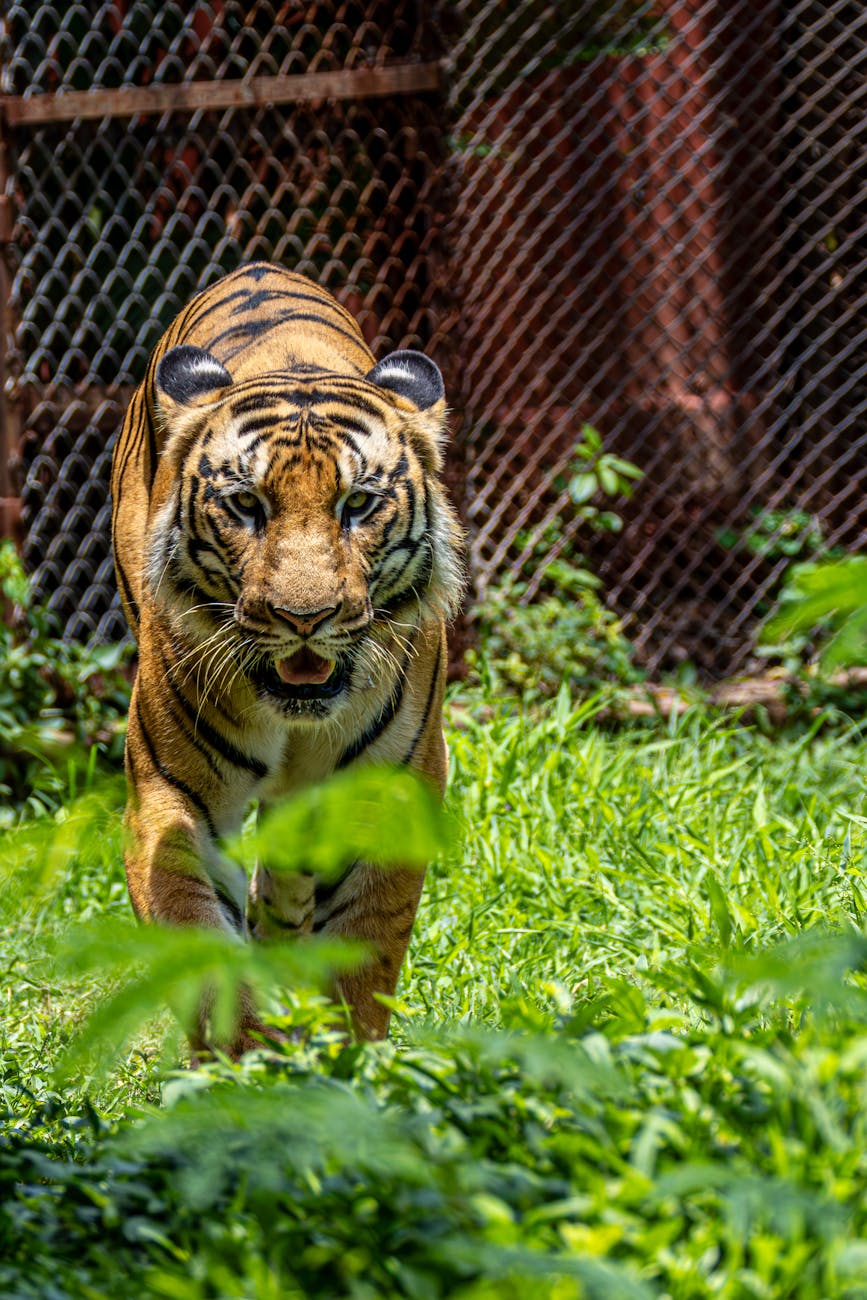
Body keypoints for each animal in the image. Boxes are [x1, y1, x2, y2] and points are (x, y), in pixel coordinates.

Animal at [110, 262, 463, 1055]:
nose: (305, 618)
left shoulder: (389, 791)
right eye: (246, 505)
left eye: (358, 504)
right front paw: (244, 1062)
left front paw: (347, 1065)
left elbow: (363, 956)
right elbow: (203, 950)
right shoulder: (168, 798)